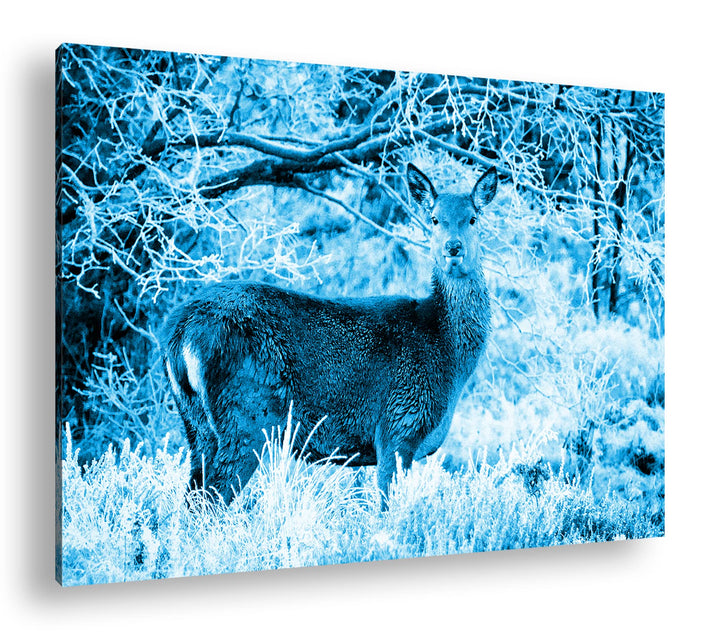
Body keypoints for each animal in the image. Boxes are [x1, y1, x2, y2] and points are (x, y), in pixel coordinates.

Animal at [162, 162, 497, 508]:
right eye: (433, 218)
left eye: (473, 218)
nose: (453, 248)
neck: (446, 351)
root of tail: (180, 333)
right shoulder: (398, 427)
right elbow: (388, 508)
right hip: (246, 414)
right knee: (212, 500)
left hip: (196, 423)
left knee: (191, 499)